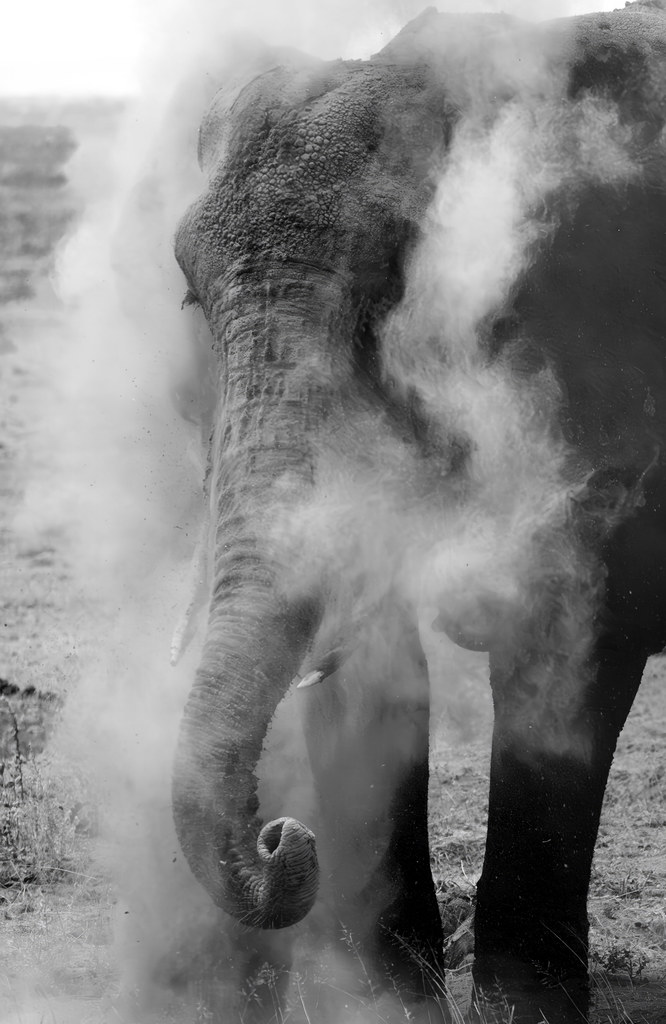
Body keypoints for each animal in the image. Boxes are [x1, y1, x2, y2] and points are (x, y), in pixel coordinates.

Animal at [170, 2, 666, 1021]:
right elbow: (372, 668)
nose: (284, 836)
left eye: (393, 301)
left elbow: (565, 656)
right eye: (191, 300)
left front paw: (524, 1010)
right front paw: (384, 1005)